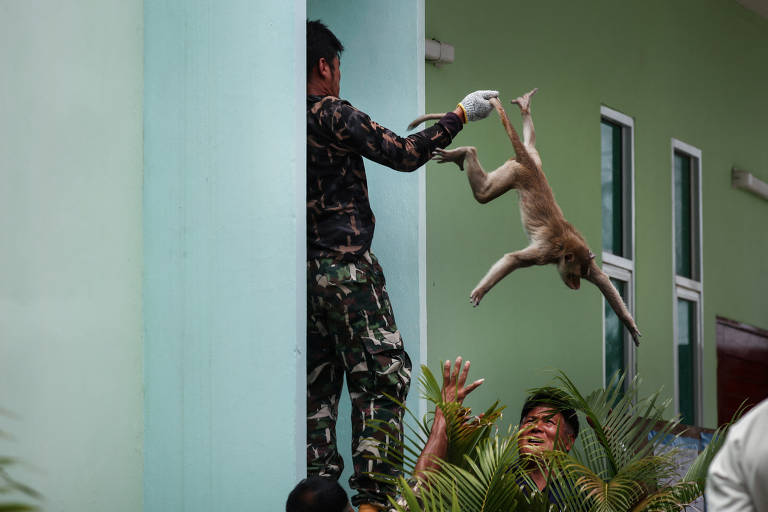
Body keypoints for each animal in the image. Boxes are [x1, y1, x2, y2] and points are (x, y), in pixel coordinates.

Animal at [412, 89, 640, 344]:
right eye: (575, 274)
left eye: (583, 274)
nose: (578, 284)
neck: (566, 248)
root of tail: (530, 165)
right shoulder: (546, 253)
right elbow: (514, 259)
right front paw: (482, 290)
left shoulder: (586, 257)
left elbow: (602, 280)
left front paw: (629, 323)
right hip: (516, 172)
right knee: (484, 194)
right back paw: (468, 151)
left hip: (525, 163)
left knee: (526, 151)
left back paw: (512, 119)